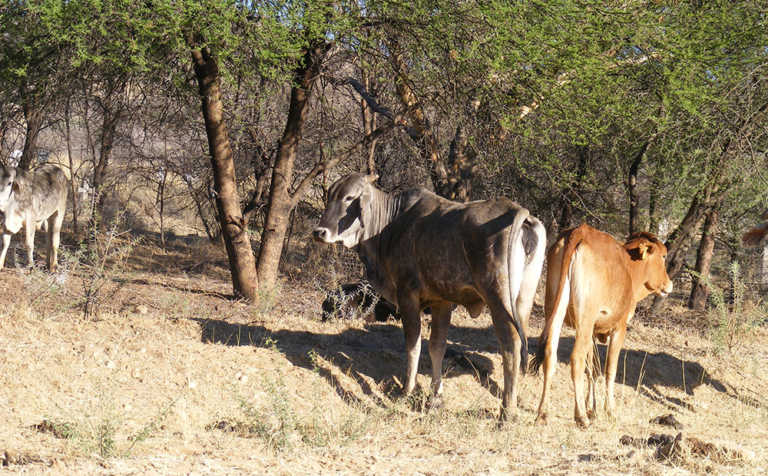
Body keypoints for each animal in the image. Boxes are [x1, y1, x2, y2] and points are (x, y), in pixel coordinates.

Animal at [314, 173, 544, 418]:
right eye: (330, 195)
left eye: (349, 198)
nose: (319, 232)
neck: (389, 225)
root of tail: (518, 211)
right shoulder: (441, 301)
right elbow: (436, 347)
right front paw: (436, 396)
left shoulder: (407, 295)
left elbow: (413, 345)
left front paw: (407, 390)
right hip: (522, 303)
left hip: (498, 301)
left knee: (511, 347)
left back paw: (506, 411)